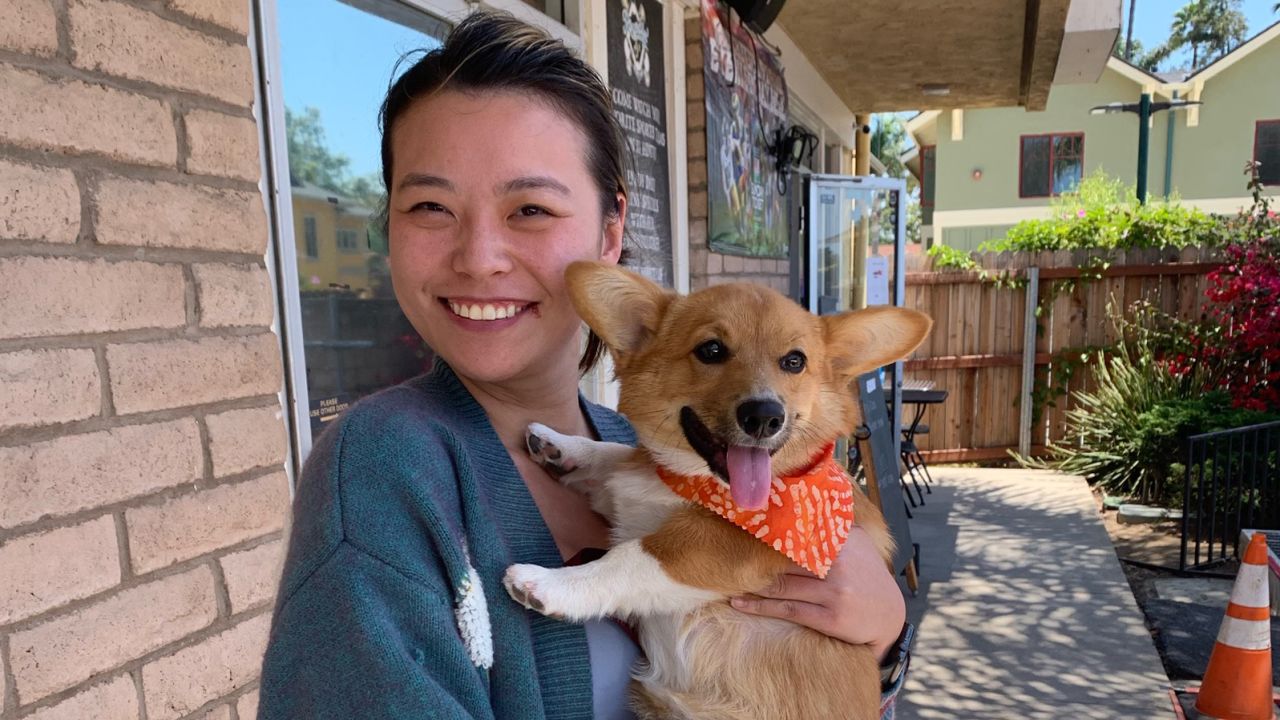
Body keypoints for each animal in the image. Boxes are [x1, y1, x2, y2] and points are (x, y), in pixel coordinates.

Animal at [499, 262, 931, 717]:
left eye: (794, 361)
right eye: (711, 350)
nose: (764, 417)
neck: (694, 481)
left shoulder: (725, 545)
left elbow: (631, 557)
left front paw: (549, 583)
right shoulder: (632, 495)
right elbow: (612, 456)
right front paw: (557, 444)